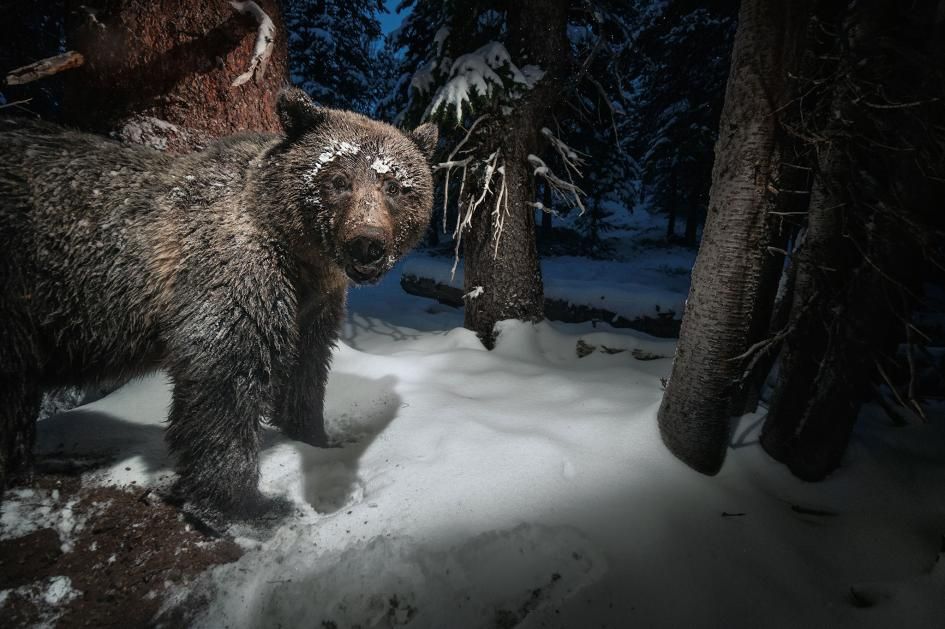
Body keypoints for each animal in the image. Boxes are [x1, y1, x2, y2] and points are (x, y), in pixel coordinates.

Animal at [0, 88, 438, 516]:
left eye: (394, 185)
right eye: (338, 178)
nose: (367, 244)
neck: (302, 256)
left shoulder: (314, 303)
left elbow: (307, 369)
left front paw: (314, 438)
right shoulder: (234, 271)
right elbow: (225, 374)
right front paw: (242, 500)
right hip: (22, 289)